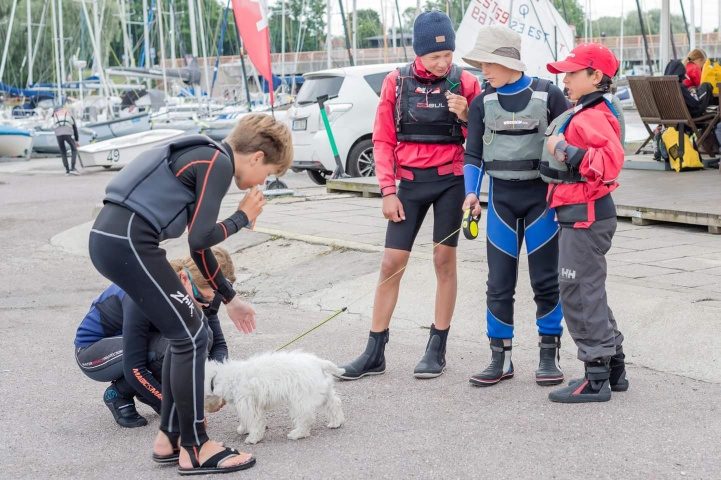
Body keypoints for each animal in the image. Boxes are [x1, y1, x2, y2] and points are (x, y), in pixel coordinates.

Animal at [205, 350, 346, 444]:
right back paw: (336, 422)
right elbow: (244, 419)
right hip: (323, 392)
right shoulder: (244, 405)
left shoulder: (249, 405)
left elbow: (254, 421)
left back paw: (298, 434)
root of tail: (318, 362)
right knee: (335, 403)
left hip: (300, 400)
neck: (219, 376)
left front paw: (253, 437)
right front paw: (243, 429)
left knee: (306, 418)